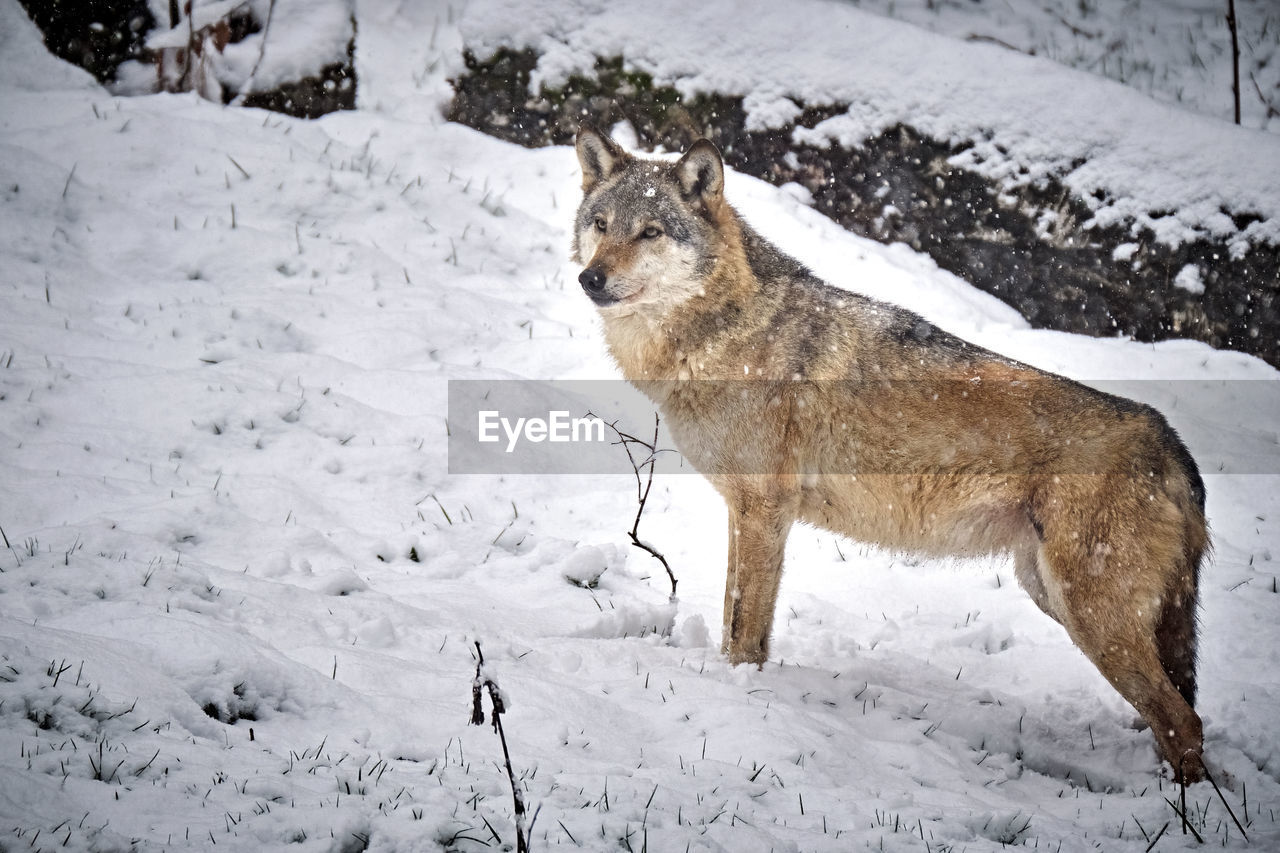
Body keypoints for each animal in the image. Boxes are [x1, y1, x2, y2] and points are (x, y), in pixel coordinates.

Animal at [573, 124, 1208, 778]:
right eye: (601, 224)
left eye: (650, 232)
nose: (590, 279)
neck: (721, 336)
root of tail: (1171, 444)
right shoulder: (749, 514)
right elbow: (737, 618)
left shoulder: (764, 510)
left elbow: (744, 632)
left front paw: (739, 697)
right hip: (1054, 596)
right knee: (1174, 714)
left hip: (1088, 615)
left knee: (1184, 720)